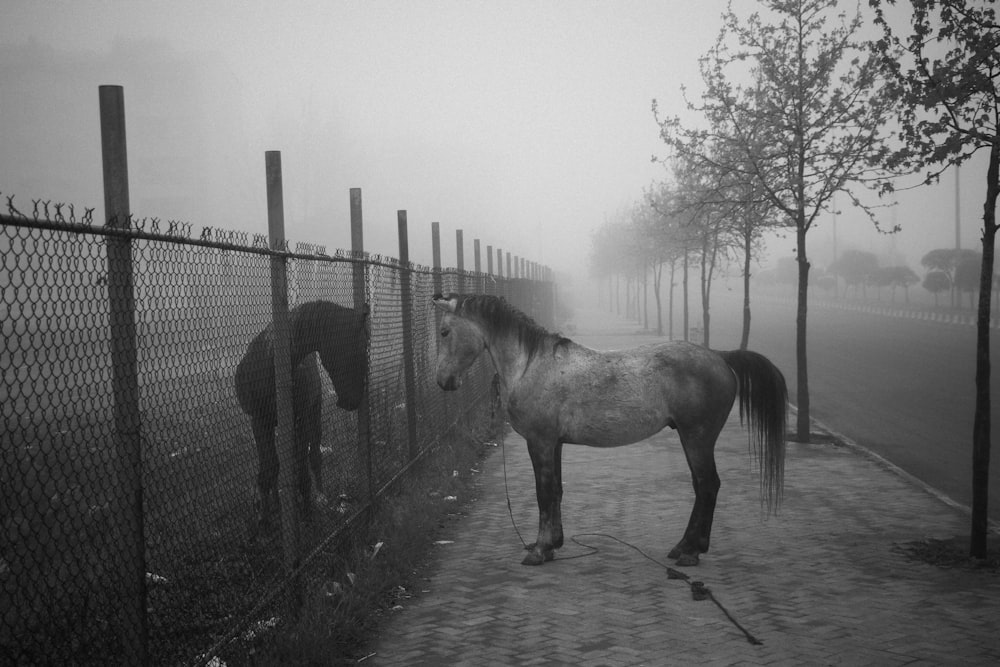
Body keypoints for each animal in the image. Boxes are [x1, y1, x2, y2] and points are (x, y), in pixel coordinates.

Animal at [236, 302, 370, 528]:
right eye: (359, 351)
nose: (352, 402)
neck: (272, 362)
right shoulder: (259, 421)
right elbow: (269, 468)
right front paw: (264, 515)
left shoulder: (301, 419)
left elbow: (301, 468)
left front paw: (306, 513)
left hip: (313, 415)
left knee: (314, 455)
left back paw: (319, 496)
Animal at [432, 294, 788, 568]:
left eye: (445, 331)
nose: (443, 381)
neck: (531, 364)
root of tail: (719, 356)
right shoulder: (555, 444)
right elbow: (556, 491)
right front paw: (554, 543)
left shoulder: (540, 442)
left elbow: (543, 493)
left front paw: (539, 550)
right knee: (703, 487)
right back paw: (684, 548)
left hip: (697, 438)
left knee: (707, 486)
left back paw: (690, 552)